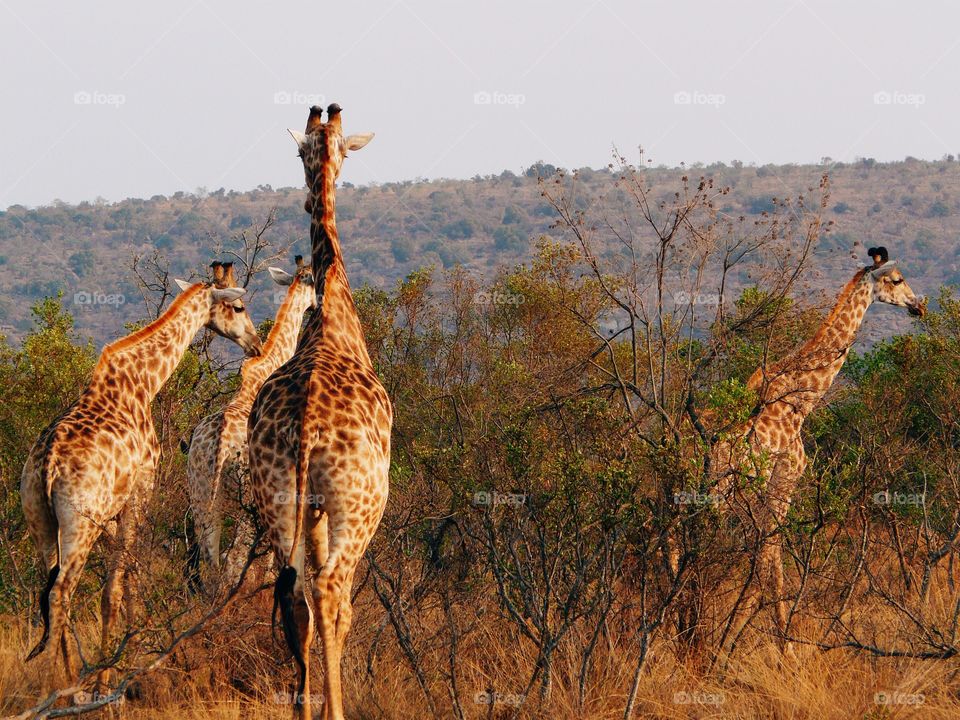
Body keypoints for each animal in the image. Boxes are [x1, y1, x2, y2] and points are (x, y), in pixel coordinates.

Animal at [21, 261, 262, 689]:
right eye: (238, 307)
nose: (256, 342)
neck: (143, 383)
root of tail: (47, 462)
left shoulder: (117, 509)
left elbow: (124, 579)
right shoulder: (140, 493)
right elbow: (118, 586)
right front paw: (115, 671)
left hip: (39, 519)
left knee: (46, 590)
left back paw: (63, 679)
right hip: (80, 523)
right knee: (61, 592)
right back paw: (68, 689)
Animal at [184, 256, 315, 592]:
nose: (316, 305)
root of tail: (219, 447)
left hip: (200, 490)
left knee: (209, 554)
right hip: (247, 493)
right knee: (233, 557)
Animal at [709, 246, 924, 655]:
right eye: (897, 279)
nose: (918, 305)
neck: (802, 402)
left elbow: (767, 562)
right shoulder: (784, 482)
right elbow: (772, 561)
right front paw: (784, 649)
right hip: (733, 495)